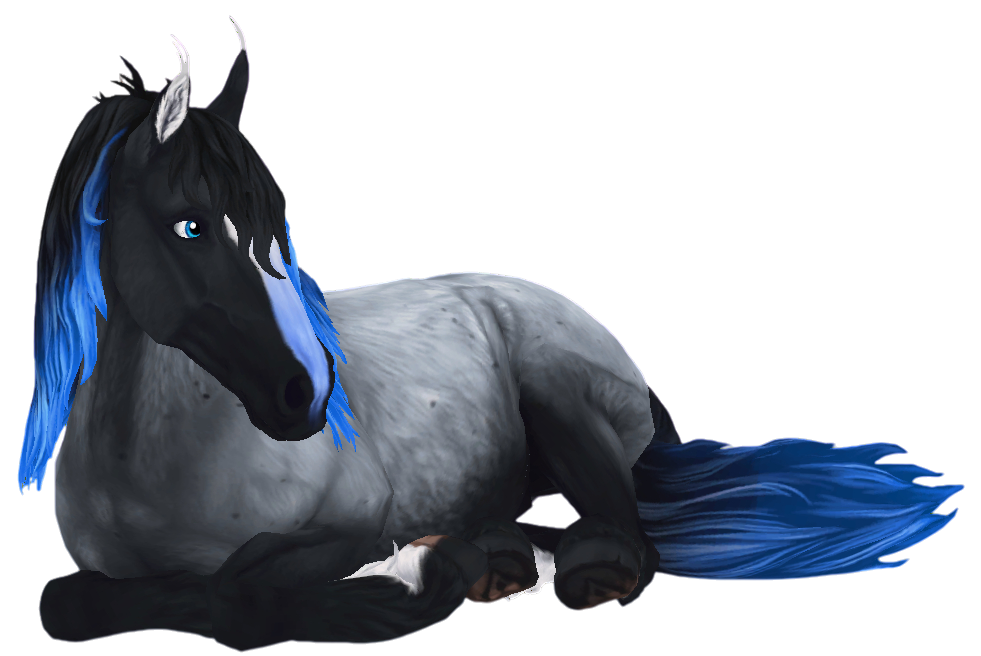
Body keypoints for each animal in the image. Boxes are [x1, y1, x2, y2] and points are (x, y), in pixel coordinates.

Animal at [22, 16, 965, 649]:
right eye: (188, 226)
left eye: (276, 226)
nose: (307, 392)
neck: (159, 462)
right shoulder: (99, 575)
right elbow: (70, 603)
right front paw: (437, 568)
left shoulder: (338, 527)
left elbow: (241, 590)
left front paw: (410, 574)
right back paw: (501, 559)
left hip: (561, 399)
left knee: (629, 537)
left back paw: (556, 567)